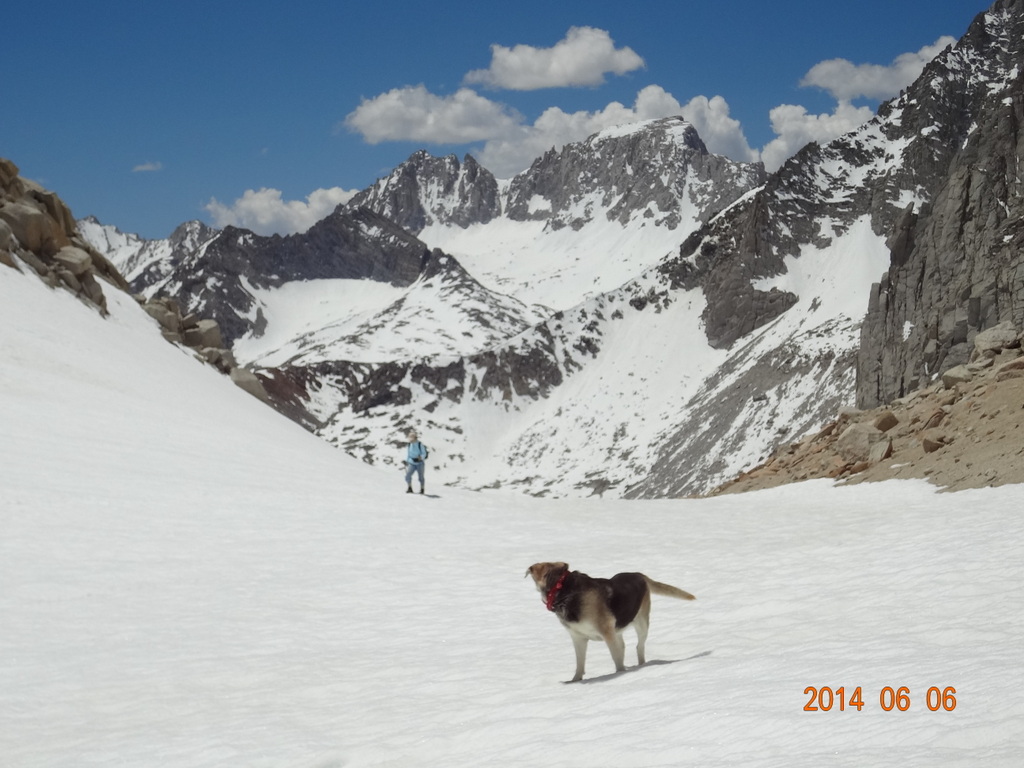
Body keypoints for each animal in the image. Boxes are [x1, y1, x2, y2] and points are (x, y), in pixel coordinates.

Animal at [528, 561, 696, 684]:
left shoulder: (607, 632)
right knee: (625, 646)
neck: (564, 591)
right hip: (619, 630)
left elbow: (616, 657)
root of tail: (639, 575)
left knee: (639, 647)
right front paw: (575, 680)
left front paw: (620, 674)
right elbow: (580, 663)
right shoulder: (578, 637)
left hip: (641, 623)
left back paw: (641, 666)